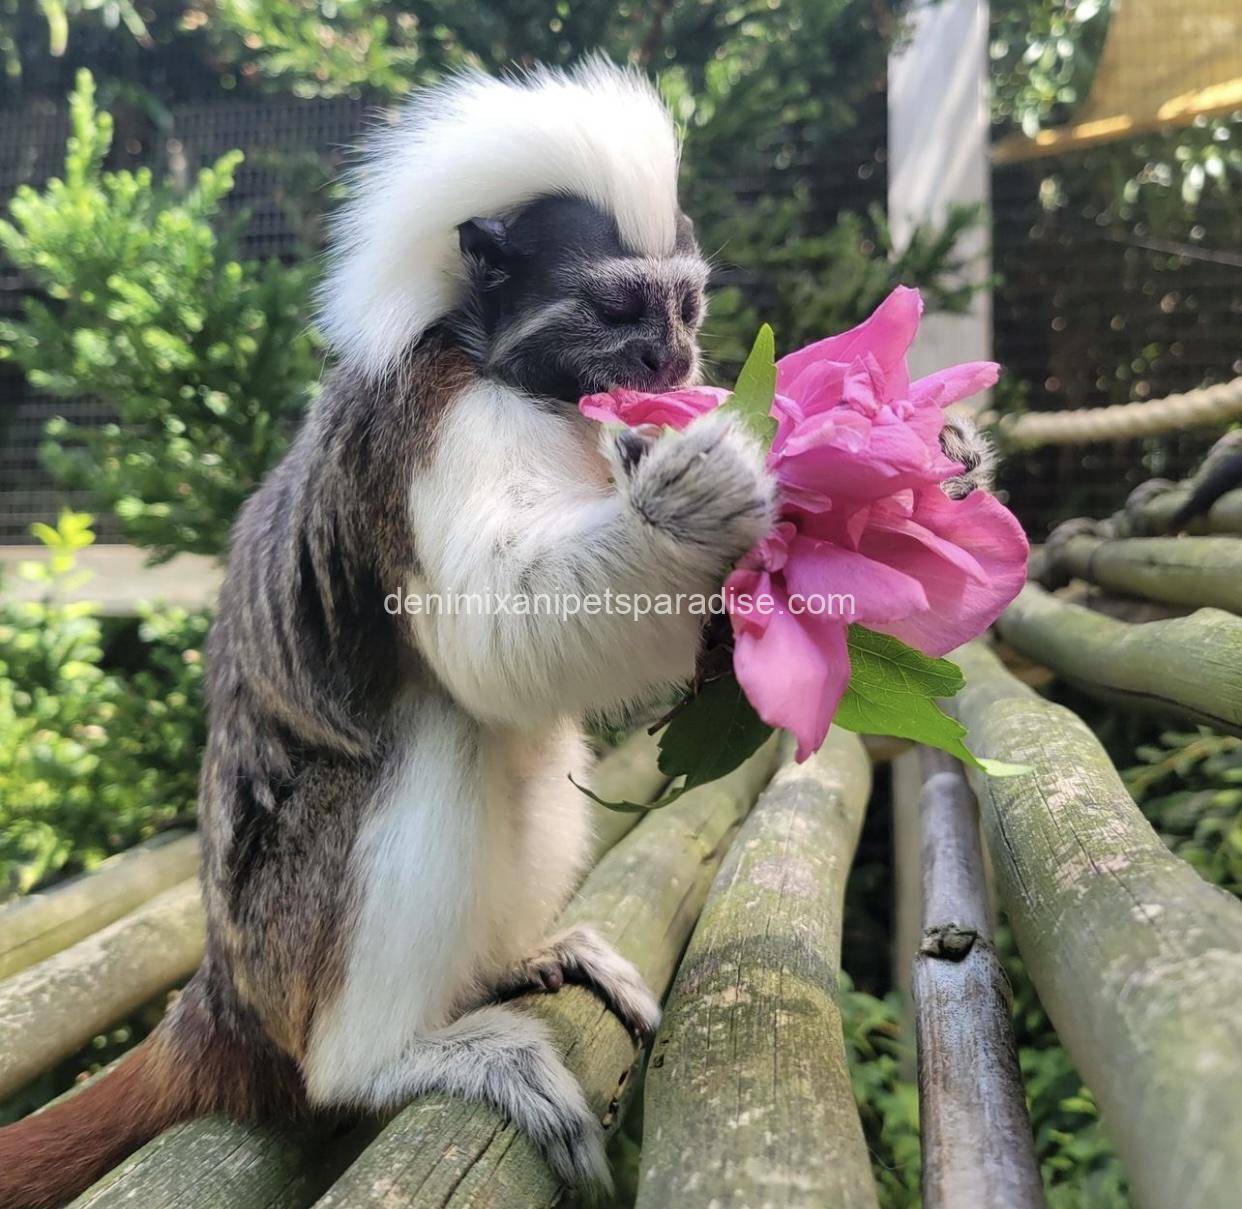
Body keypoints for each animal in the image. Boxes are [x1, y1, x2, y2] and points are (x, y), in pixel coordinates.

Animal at [0, 58, 998, 1207]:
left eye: (686, 304)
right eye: (617, 308)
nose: (674, 355)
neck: (514, 381)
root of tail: (222, 1000)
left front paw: (950, 455)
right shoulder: (433, 422)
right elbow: (493, 634)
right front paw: (705, 496)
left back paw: (514, 960)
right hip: (285, 948)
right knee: (440, 726)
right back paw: (390, 1058)